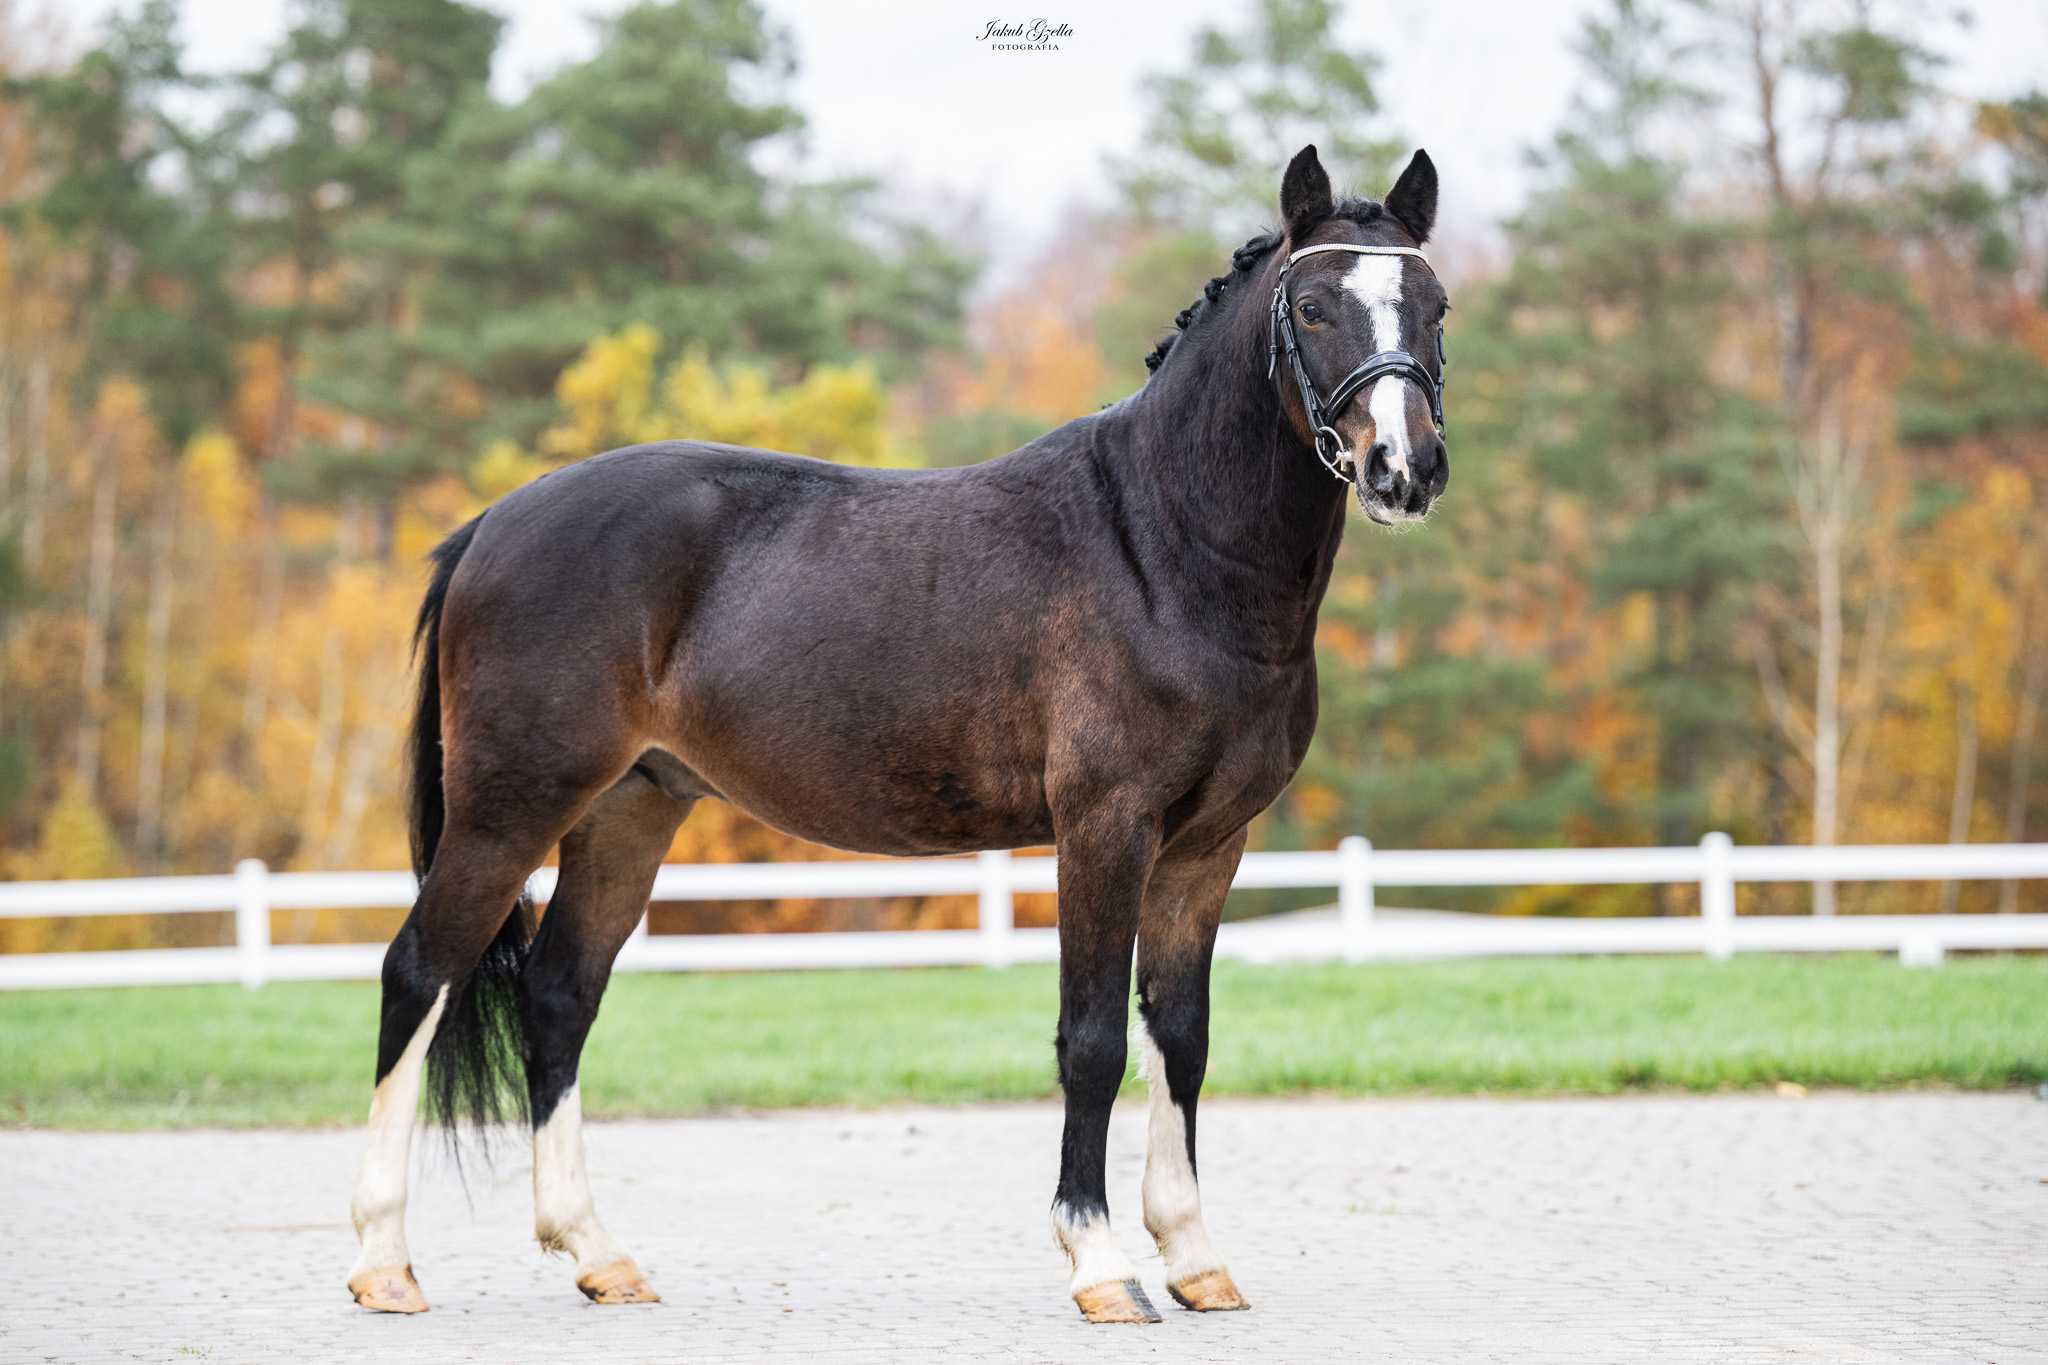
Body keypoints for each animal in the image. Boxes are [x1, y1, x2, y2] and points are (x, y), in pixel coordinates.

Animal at [346, 143, 1450, 1325]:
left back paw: (600, 1253)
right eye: (1315, 306)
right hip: (509, 809)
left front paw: (1194, 1257)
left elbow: (1180, 1037)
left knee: (559, 997)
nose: (1403, 468)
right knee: (420, 973)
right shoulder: (1102, 831)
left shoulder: (1207, 847)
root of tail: (489, 525)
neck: (1161, 546)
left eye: (1434, 306)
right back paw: (384, 1261)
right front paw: (1102, 1265)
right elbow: (1094, 1039)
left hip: (627, 811)